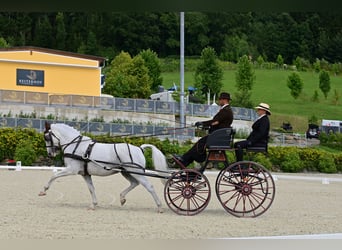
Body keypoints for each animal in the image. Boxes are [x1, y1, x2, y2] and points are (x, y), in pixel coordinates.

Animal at [39, 122, 169, 212]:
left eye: (46, 137)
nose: (50, 154)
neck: (76, 145)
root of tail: (139, 148)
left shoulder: (72, 170)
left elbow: (54, 175)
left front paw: (43, 191)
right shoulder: (85, 174)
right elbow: (91, 189)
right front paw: (93, 205)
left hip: (135, 171)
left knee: (149, 186)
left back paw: (160, 207)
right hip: (126, 172)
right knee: (134, 183)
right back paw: (122, 198)